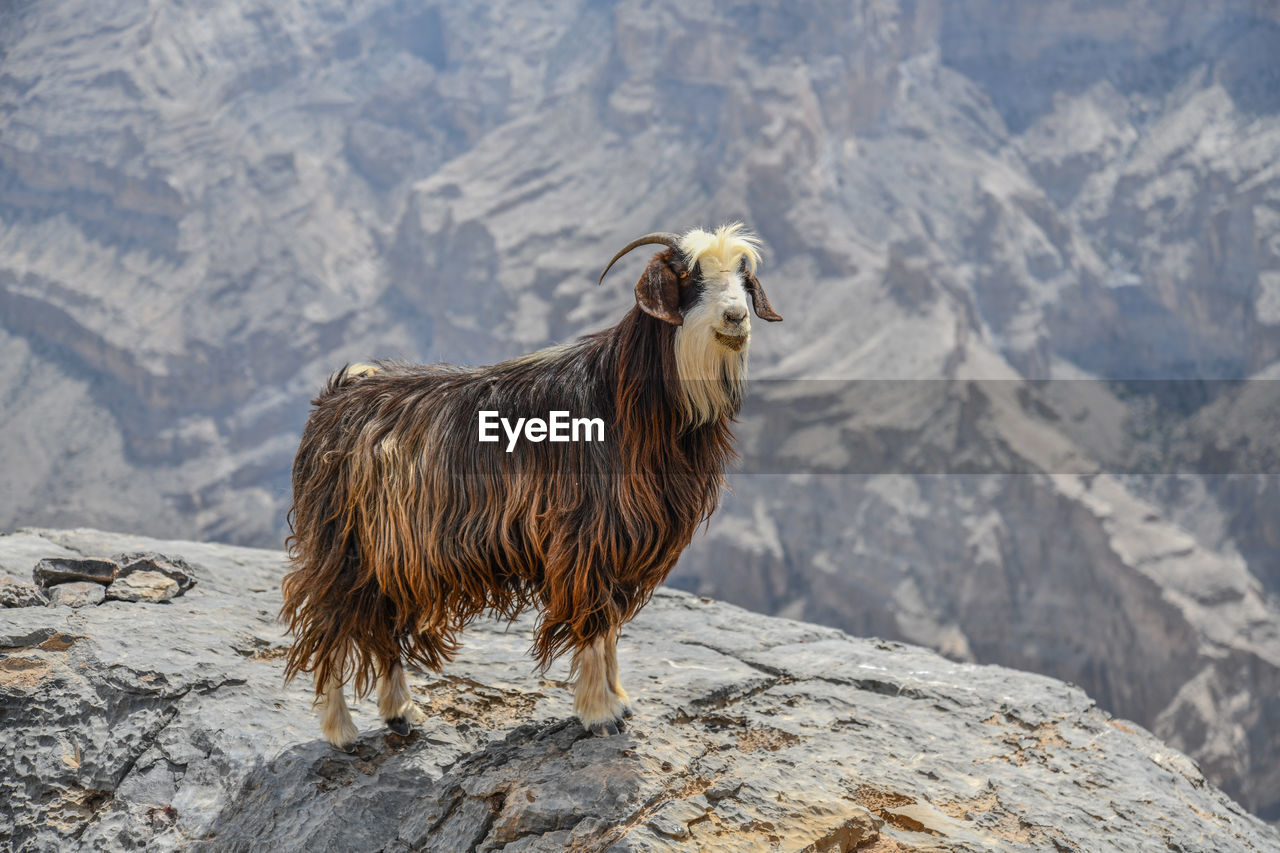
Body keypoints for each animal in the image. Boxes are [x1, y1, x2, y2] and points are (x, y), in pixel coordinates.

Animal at [280, 222, 778, 747]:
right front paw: (600, 713)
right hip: (343, 545)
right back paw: (341, 729)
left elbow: (610, 626)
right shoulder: (585, 538)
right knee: (330, 623)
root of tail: (340, 394)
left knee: (382, 620)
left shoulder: (622, 542)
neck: (626, 402)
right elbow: (592, 622)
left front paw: (619, 701)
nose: (735, 317)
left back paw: (401, 711)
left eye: (744, 277)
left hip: (396, 554)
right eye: (688, 276)